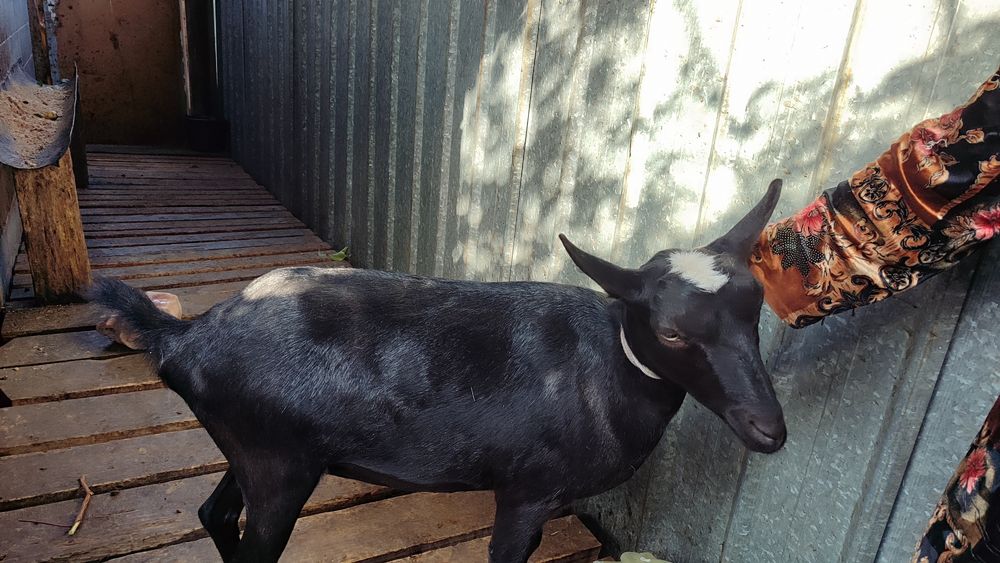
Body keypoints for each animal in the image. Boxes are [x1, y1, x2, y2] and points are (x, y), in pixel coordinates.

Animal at [88, 180, 786, 563]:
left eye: (755, 308)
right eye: (671, 332)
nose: (769, 430)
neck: (605, 367)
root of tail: (186, 337)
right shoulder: (527, 492)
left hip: (257, 450)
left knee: (212, 513)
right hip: (276, 465)